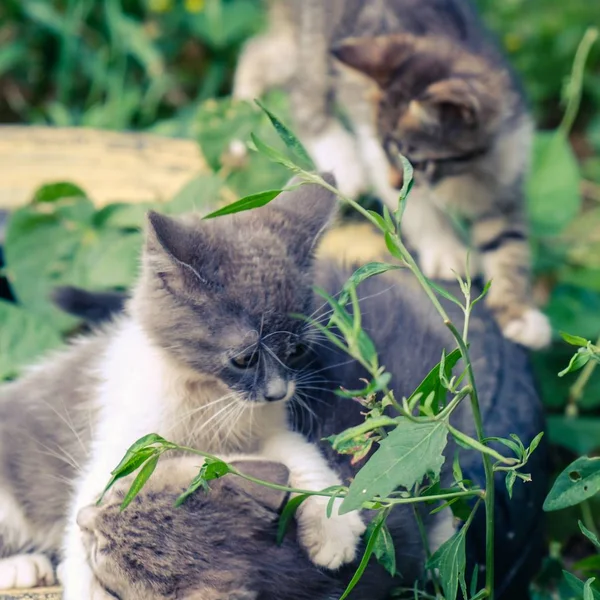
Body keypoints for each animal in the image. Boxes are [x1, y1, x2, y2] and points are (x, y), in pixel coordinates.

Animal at [0, 179, 366, 600]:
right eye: (244, 358)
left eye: (297, 350)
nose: (278, 393)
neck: (209, 396)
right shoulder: (121, 442)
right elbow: (91, 500)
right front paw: (85, 581)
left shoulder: (262, 430)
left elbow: (298, 452)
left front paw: (334, 526)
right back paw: (20, 566)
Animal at [232, 0, 552, 350]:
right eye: (389, 150)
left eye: (417, 161)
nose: (393, 181)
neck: (464, 172)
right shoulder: (374, 149)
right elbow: (413, 209)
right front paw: (444, 250)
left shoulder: (507, 173)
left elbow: (508, 243)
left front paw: (518, 312)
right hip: (316, 42)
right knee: (301, 92)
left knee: (260, 51)